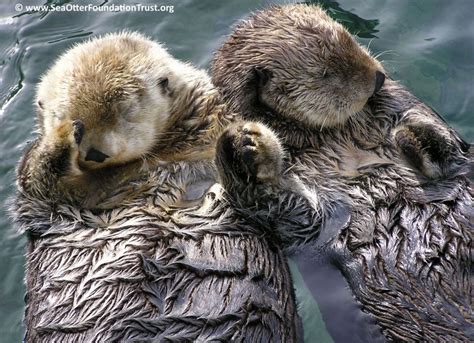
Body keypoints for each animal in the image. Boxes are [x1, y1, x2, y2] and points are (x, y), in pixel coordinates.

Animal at [212, 4, 474, 342]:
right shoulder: (309, 222)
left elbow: (431, 128)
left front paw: (418, 138)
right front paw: (242, 146)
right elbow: (285, 210)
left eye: (349, 37)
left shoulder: (397, 102)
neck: (336, 137)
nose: (377, 77)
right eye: (325, 74)